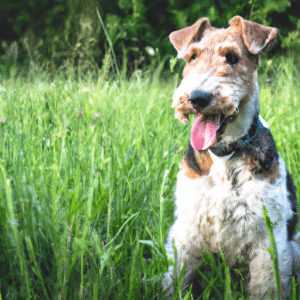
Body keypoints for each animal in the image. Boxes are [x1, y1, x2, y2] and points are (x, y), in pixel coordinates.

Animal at [163, 15, 300, 298]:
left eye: (232, 57)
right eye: (192, 57)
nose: (197, 98)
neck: (225, 154)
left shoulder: (267, 239)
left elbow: (266, 286)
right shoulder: (186, 230)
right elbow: (178, 279)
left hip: (295, 247)